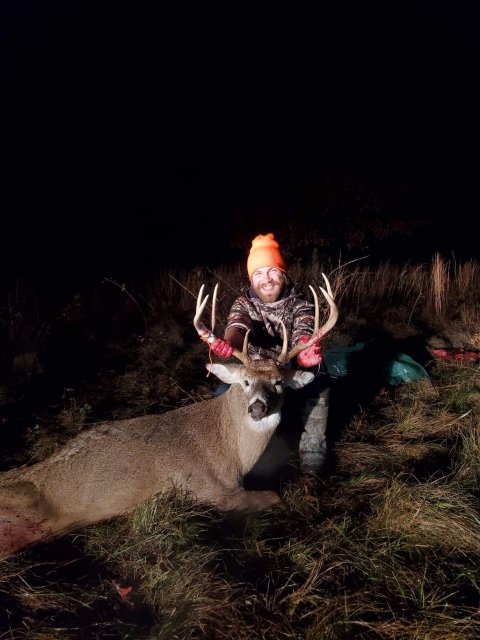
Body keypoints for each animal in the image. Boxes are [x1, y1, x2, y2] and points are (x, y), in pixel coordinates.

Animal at [0, 276, 338, 556]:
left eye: (279, 382)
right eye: (245, 381)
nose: (257, 408)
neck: (231, 452)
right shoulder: (207, 490)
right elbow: (274, 497)